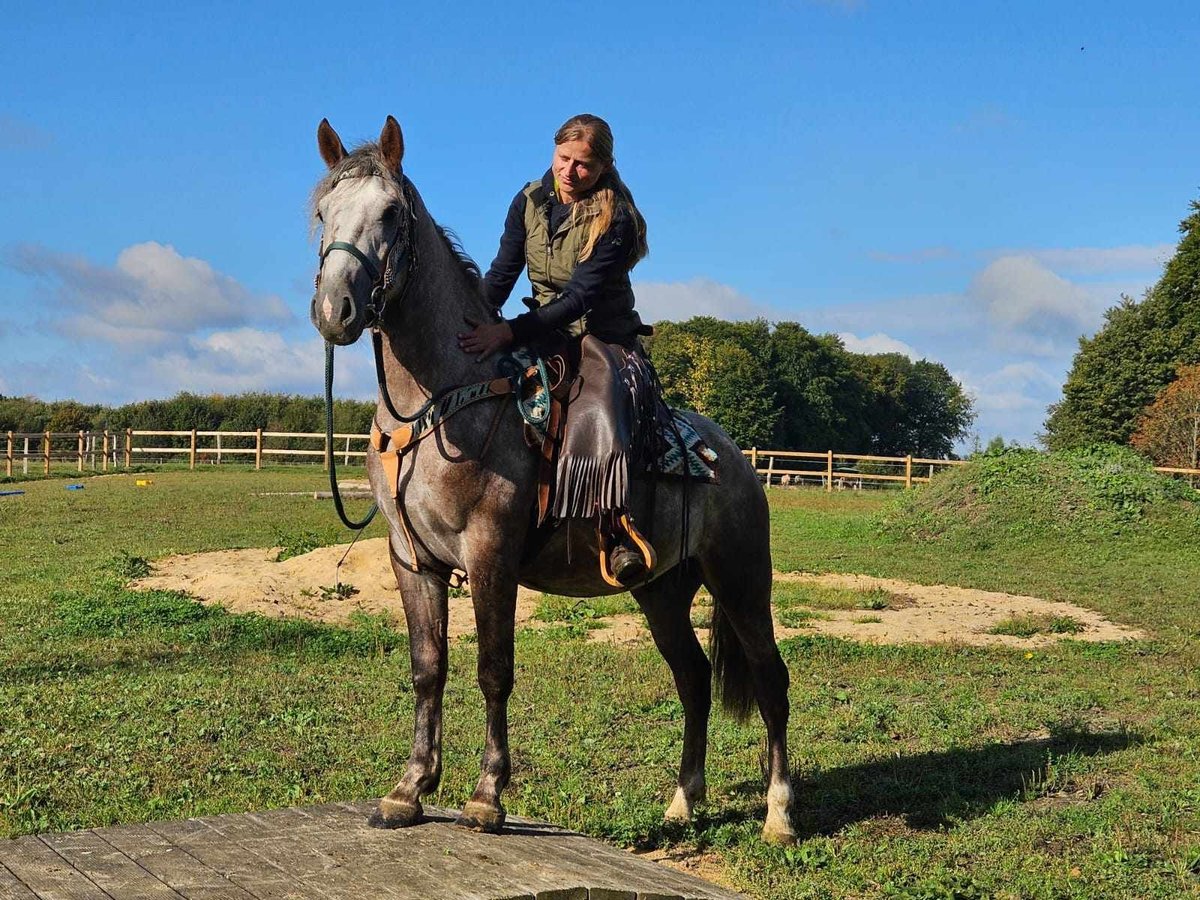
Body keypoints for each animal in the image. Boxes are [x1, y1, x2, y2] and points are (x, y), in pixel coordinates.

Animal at [309, 114, 796, 844]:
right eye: (321, 212)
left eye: (392, 212)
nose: (335, 308)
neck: (443, 401)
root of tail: (731, 457)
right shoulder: (412, 560)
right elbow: (428, 669)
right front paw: (409, 790)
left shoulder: (490, 555)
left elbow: (493, 670)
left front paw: (487, 797)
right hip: (662, 590)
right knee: (693, 679)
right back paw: (683, 802)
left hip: (740, 578)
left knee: (769, 679)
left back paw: (780, 814)